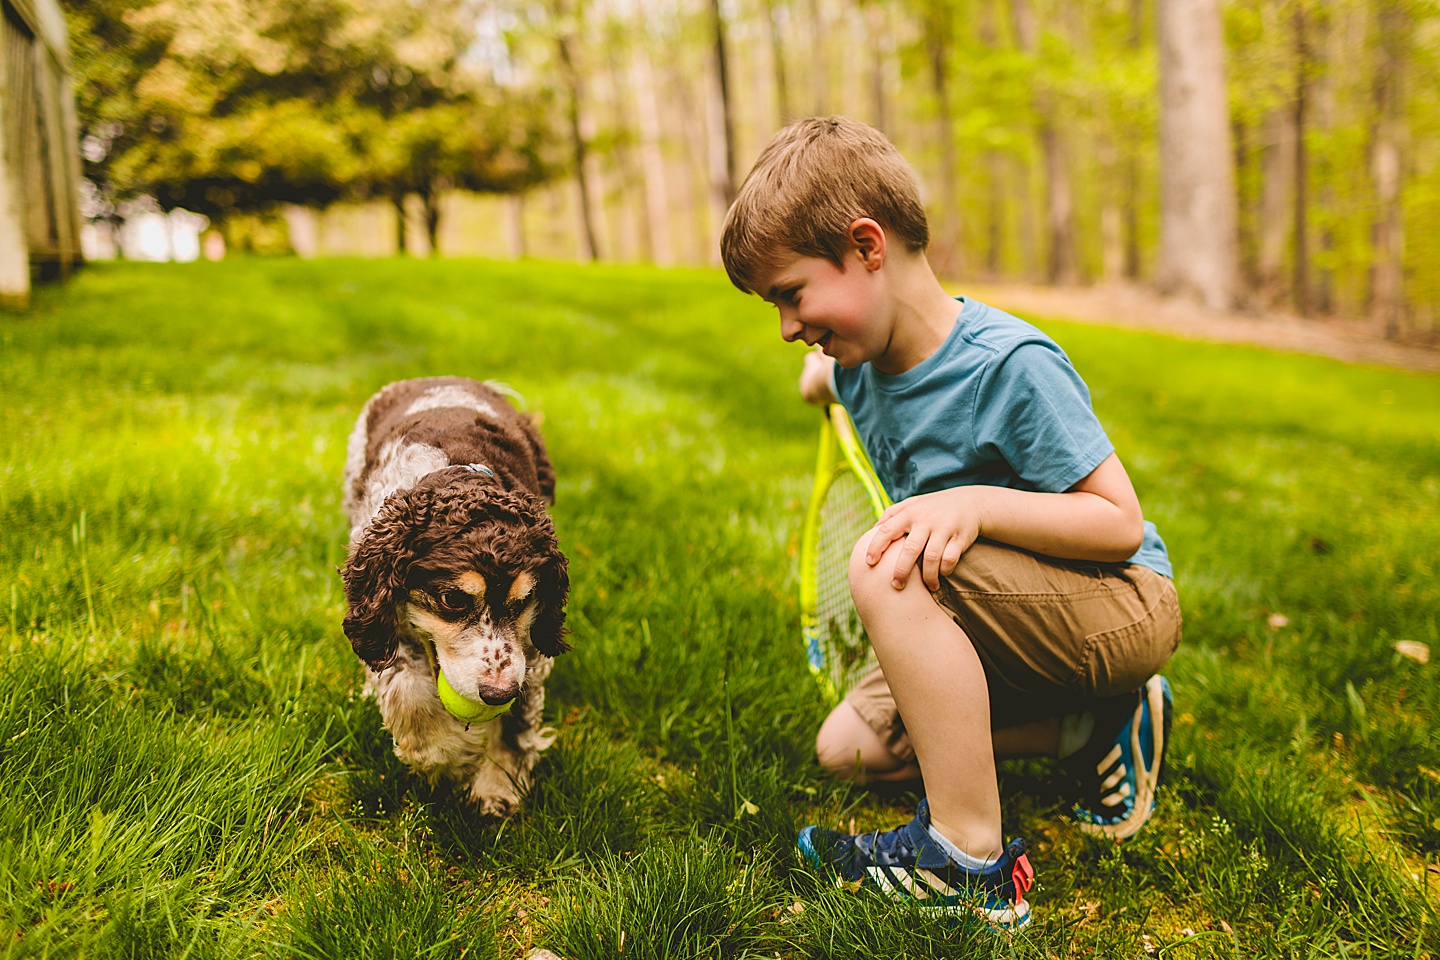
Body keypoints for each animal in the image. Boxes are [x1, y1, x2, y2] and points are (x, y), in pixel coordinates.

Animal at [341, 379, 567, 817]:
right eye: (452, 600)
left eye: (526, 599)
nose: (498, 693)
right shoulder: (386, 614)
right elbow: (406, 690)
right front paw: (449, 754)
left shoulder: (529, 648)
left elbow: (517, 721)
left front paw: (497, 787)